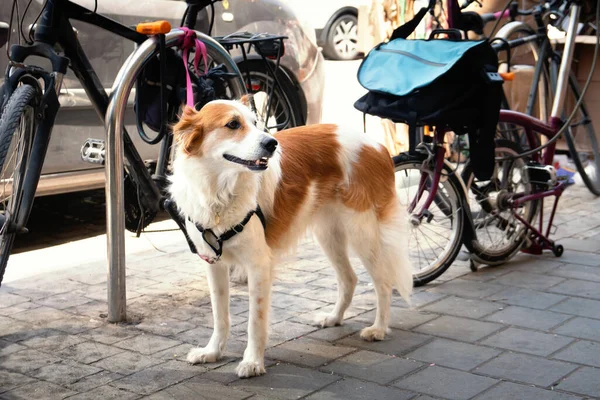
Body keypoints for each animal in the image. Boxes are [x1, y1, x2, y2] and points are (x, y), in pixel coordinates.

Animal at [169, 97, 412, 378]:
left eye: (255, 122)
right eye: (232, 124)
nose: (271, 143)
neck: (220, 191)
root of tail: (377, 145)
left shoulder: (258, 265)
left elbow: (255, 321)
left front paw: (252, 362)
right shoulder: (214, 264)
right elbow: (220, 315)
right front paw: (212, 352)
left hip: (361, 232)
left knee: (383, 281)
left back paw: (379, 329)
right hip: (328, 235)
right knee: (349, 279)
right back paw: (334, 318)